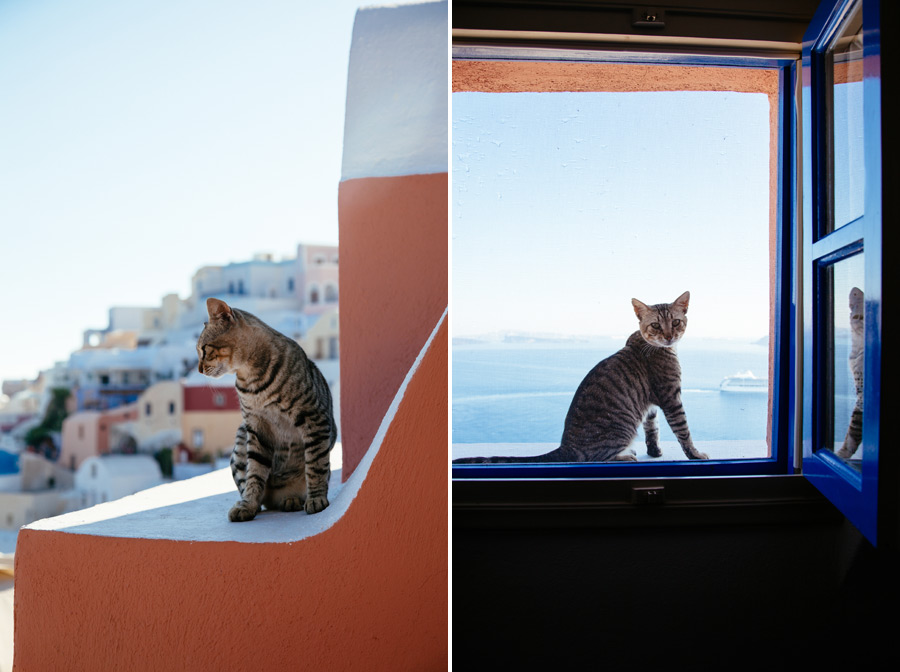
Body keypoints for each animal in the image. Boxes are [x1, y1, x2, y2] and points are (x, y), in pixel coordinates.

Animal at [198, 296, 338, 524]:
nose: (199, 369)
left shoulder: (313, 417)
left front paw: (316, 498)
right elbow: (254, 474)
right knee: (259, 493)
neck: (251, 378)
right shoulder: (256, 426)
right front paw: (247, 504)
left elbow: (316, 464)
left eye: (203, 349)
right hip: (240, 441)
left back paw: (292, 499)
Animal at [454, 292, 708, 464]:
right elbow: (683, 430)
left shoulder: (652, 405)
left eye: (675, 322)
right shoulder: (670, 397)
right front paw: (694, 454)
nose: (668, 336)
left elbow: (652, 429)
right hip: (621, 428)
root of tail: (566, 446)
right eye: (655, 325)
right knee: (594, 458)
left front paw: (654, 451)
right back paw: (624, 456)